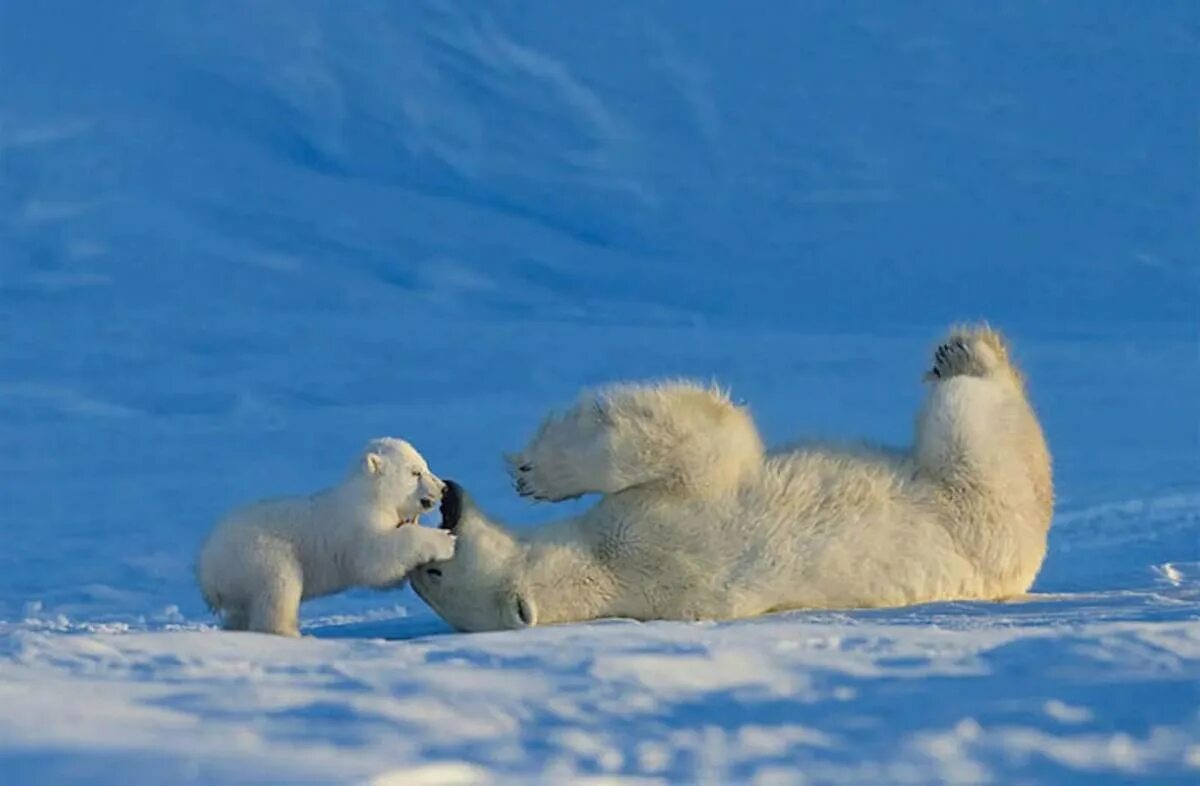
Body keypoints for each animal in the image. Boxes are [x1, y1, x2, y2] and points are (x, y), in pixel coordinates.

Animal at [199, 439, 456, 638]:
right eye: (416, 472)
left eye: (425, 466)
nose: (443, 487)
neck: (369, 496)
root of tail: (207, 571)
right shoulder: (357, 524)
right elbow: (374, 562)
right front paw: (446, 540)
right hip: (257, 554)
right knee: (280, 585)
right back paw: (290, 633)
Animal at [412, 326, 1051, 633]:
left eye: (433, 572)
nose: (449, 497)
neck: (607, 574)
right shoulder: (662, 536)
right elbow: (702, 443)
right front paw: (535, 471)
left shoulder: (658, 528)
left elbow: (696, 445)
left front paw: (535, 472)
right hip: (980, 499)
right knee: (971, 422)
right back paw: (968, 354)